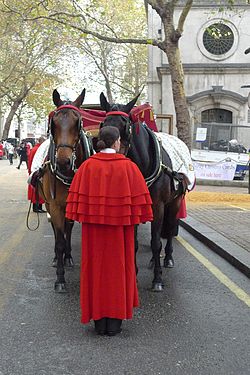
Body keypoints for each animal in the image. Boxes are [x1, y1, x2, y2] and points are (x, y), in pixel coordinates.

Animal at [38, 89, 93, 294]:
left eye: (77, 122)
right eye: (53, 123)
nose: (63, 161)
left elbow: (69, 230)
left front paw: (68, 257)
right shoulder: (54, 205)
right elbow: (59, 239)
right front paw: (60, 279)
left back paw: (68, 257)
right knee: (57, 231)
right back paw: (57, 257)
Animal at [99, 92, 188, 292]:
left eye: (125, 125)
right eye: (103, 122)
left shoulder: (158, 206)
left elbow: (155, 242)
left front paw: (157, 279)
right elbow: (134, 243)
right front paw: (134, 275)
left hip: (175, 202)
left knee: (170, 227)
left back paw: (167, 258)